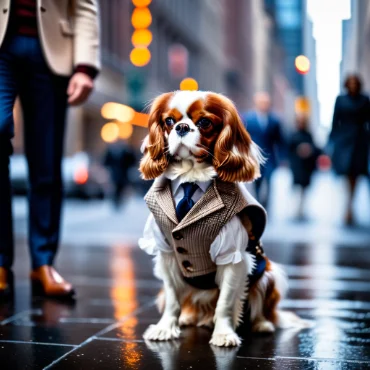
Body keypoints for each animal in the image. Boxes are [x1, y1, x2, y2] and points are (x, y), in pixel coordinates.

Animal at [139, 90, 306, 346]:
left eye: (204, 122)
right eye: (169, 120)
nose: (182, 127)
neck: (190, 178)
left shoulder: (232, 257)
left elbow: (225, 302)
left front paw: (224, 333)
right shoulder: (166, 253)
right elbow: (172, 298)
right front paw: (165, 328)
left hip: (268, 274)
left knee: (261, 308)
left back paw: (261, 324)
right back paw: (190, 317)